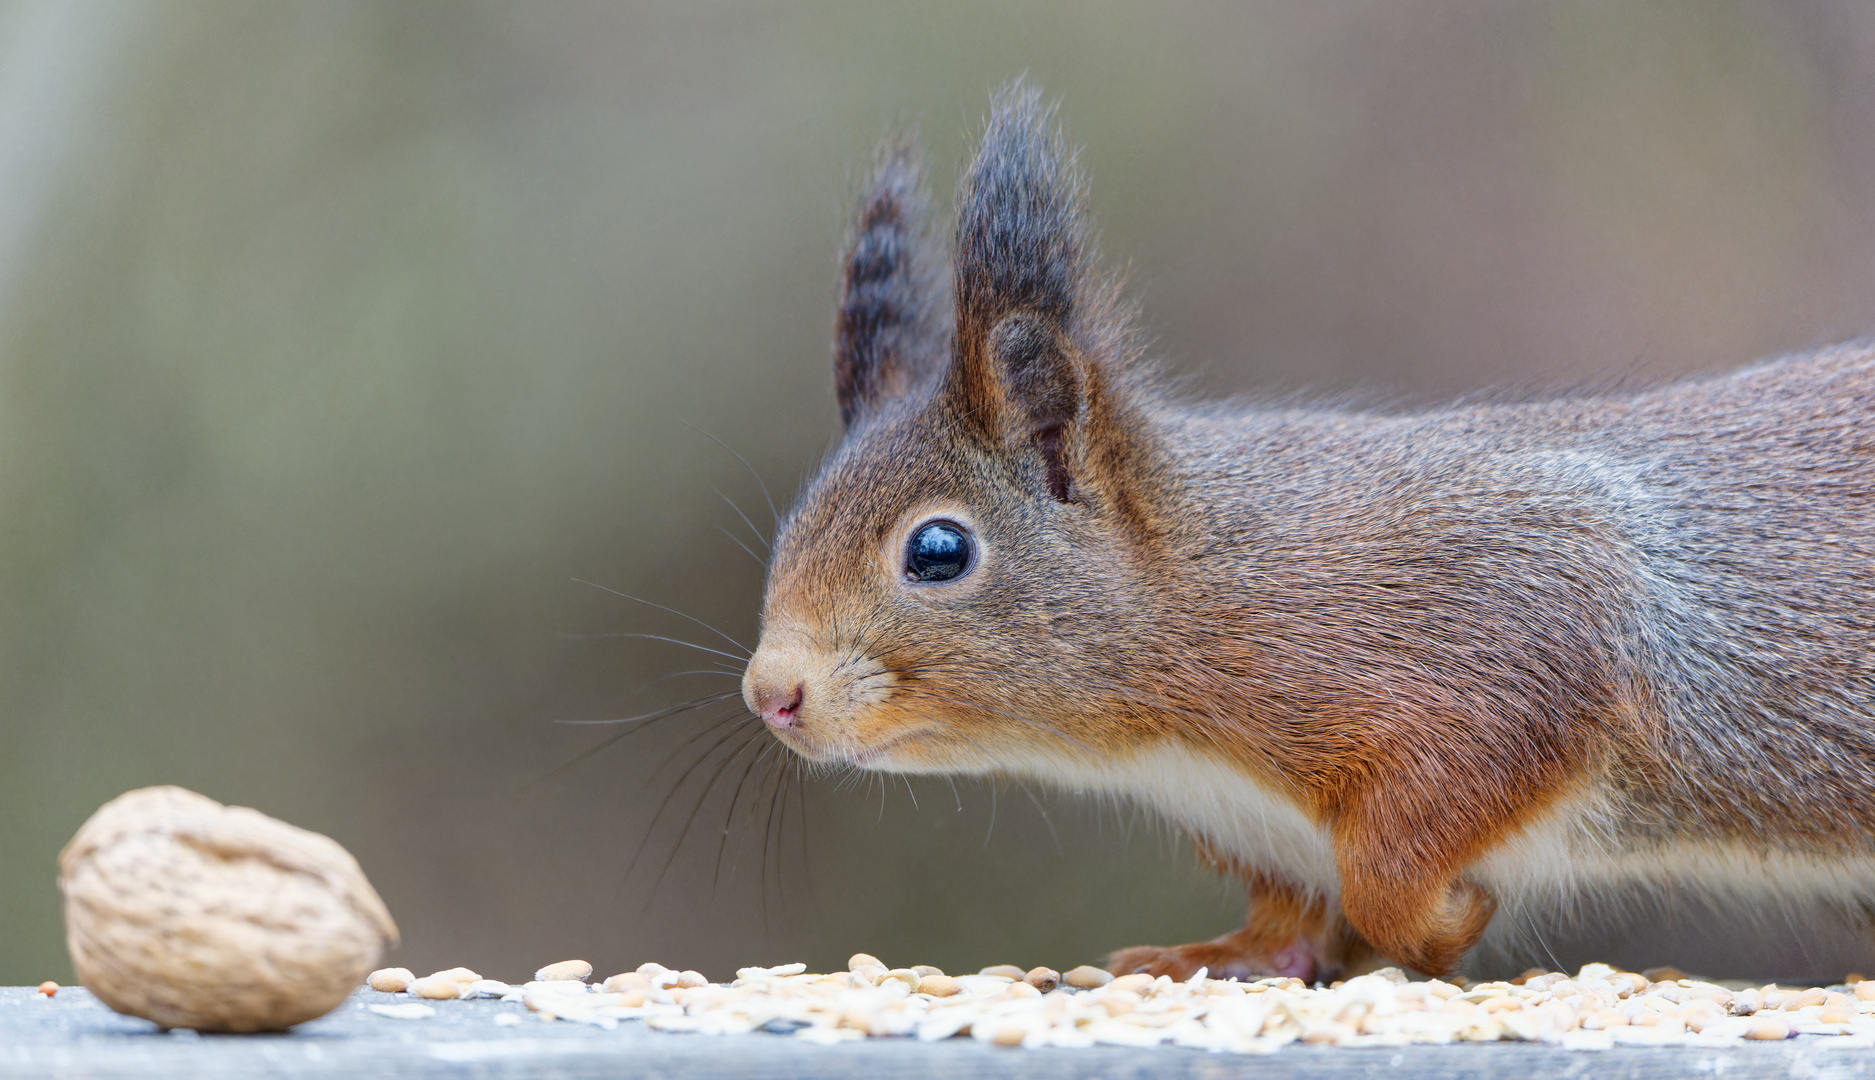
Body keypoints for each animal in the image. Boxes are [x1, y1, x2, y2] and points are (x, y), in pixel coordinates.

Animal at [738, 84, 1875, 975]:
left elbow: (1400, 855)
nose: (771, 695)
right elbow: (1292, 919)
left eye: (938, 552)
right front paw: (1212, 958)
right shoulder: (1264, 834)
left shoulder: (1502, 630)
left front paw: (1439, 921)